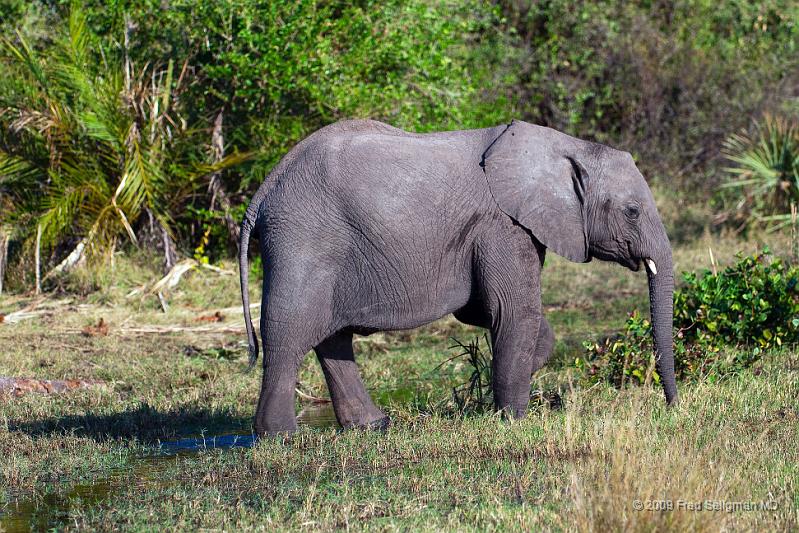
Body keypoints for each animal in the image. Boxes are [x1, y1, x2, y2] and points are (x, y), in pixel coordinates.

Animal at [241, 118, 680, 434]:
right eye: (632, 212)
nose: (672, 407)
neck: (564, 146)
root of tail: (264, 191)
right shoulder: (502, 225)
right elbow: (513, 311)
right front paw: (513, 419)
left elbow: (485, 311)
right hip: (302, 239)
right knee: (289, 331)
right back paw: (279, 436)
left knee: (332, 338)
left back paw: (372, 426)